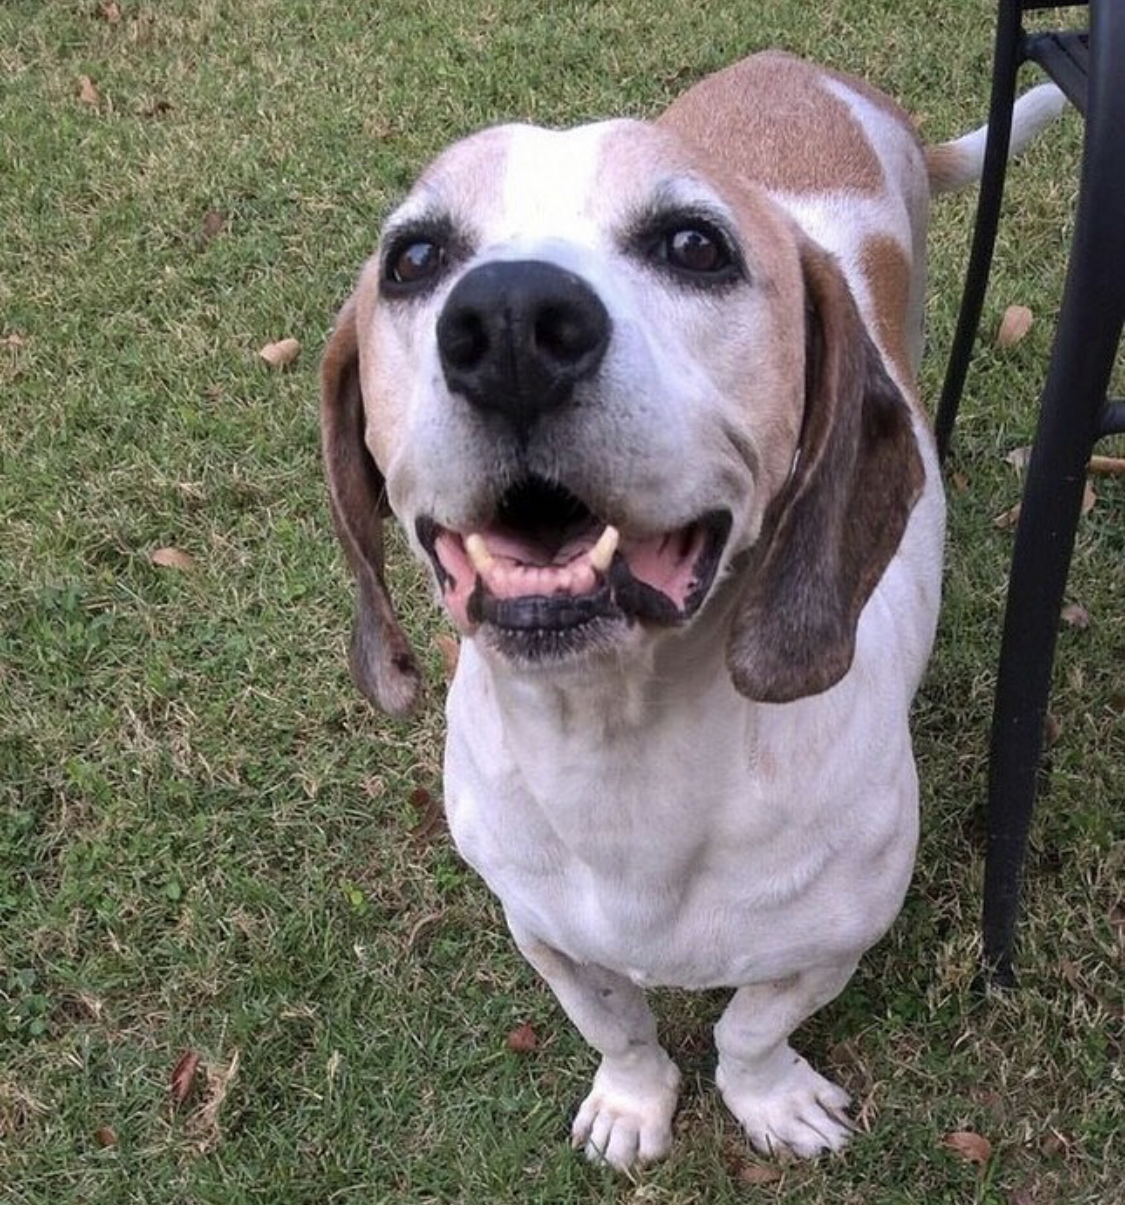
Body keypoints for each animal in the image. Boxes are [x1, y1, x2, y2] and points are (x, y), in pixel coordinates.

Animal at [317, 49, 1064, 1166]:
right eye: (413, 257)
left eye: (692, 244)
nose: (508, 323)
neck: (623, 747)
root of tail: (800, 70)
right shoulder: (543, 932)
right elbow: (617, 1023)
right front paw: (634, 1101)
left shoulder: (832, 938)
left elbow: (749, 1027)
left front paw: (768, 1098)